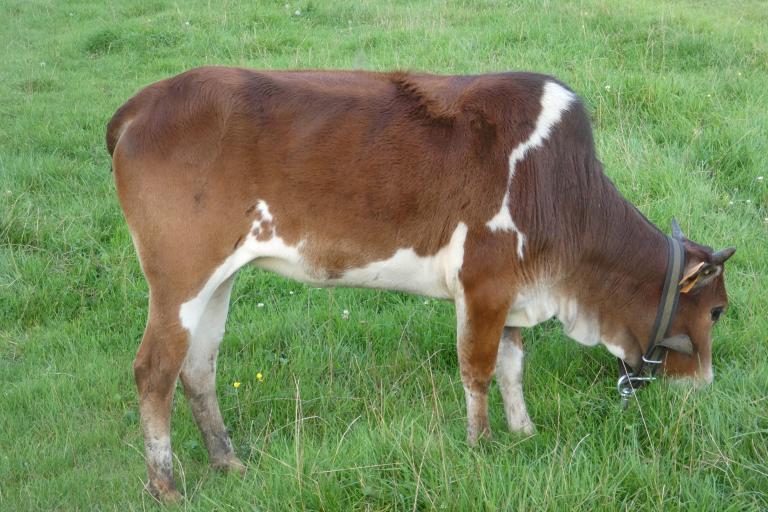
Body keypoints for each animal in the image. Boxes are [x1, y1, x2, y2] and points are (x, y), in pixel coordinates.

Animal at [105, 66, 736, 502]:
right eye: (719, 310)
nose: (706, 385)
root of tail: (145, 102)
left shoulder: (511, 291)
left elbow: (512, 365)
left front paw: (524, 431)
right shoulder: (484, 281)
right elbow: (478, 368)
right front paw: (482, 446)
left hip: (220, 277)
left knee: (198, 366)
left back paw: (227, 462)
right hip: (180, 273)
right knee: (154, 369)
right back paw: (164, 486)